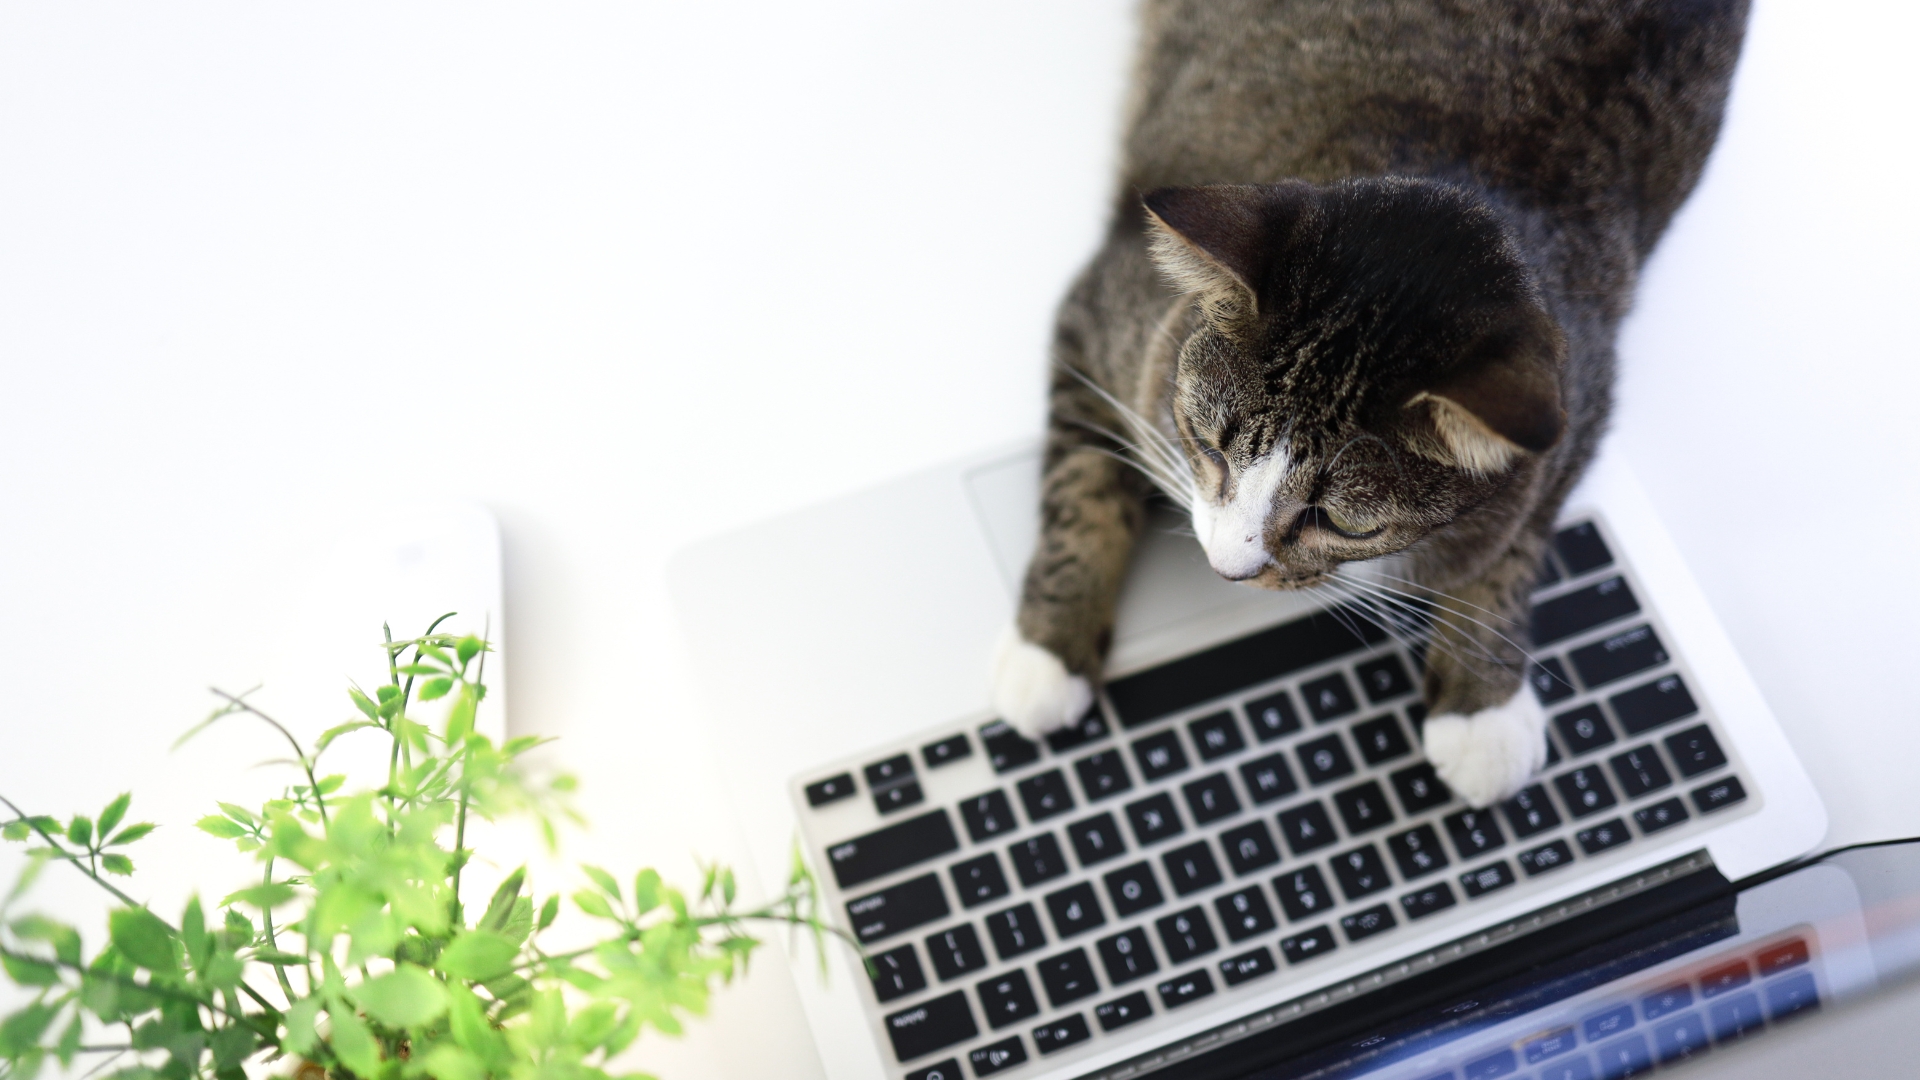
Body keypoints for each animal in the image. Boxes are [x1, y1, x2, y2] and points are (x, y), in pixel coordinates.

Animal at [998, 0, 1751, 803]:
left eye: (1339, 523)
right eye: (1207, 448)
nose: (1226, 570)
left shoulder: (1577, 401)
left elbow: (1513, 545)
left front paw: (1482, 703)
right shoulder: (1105, 319)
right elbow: (1083, 490)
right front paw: (1048, 652)